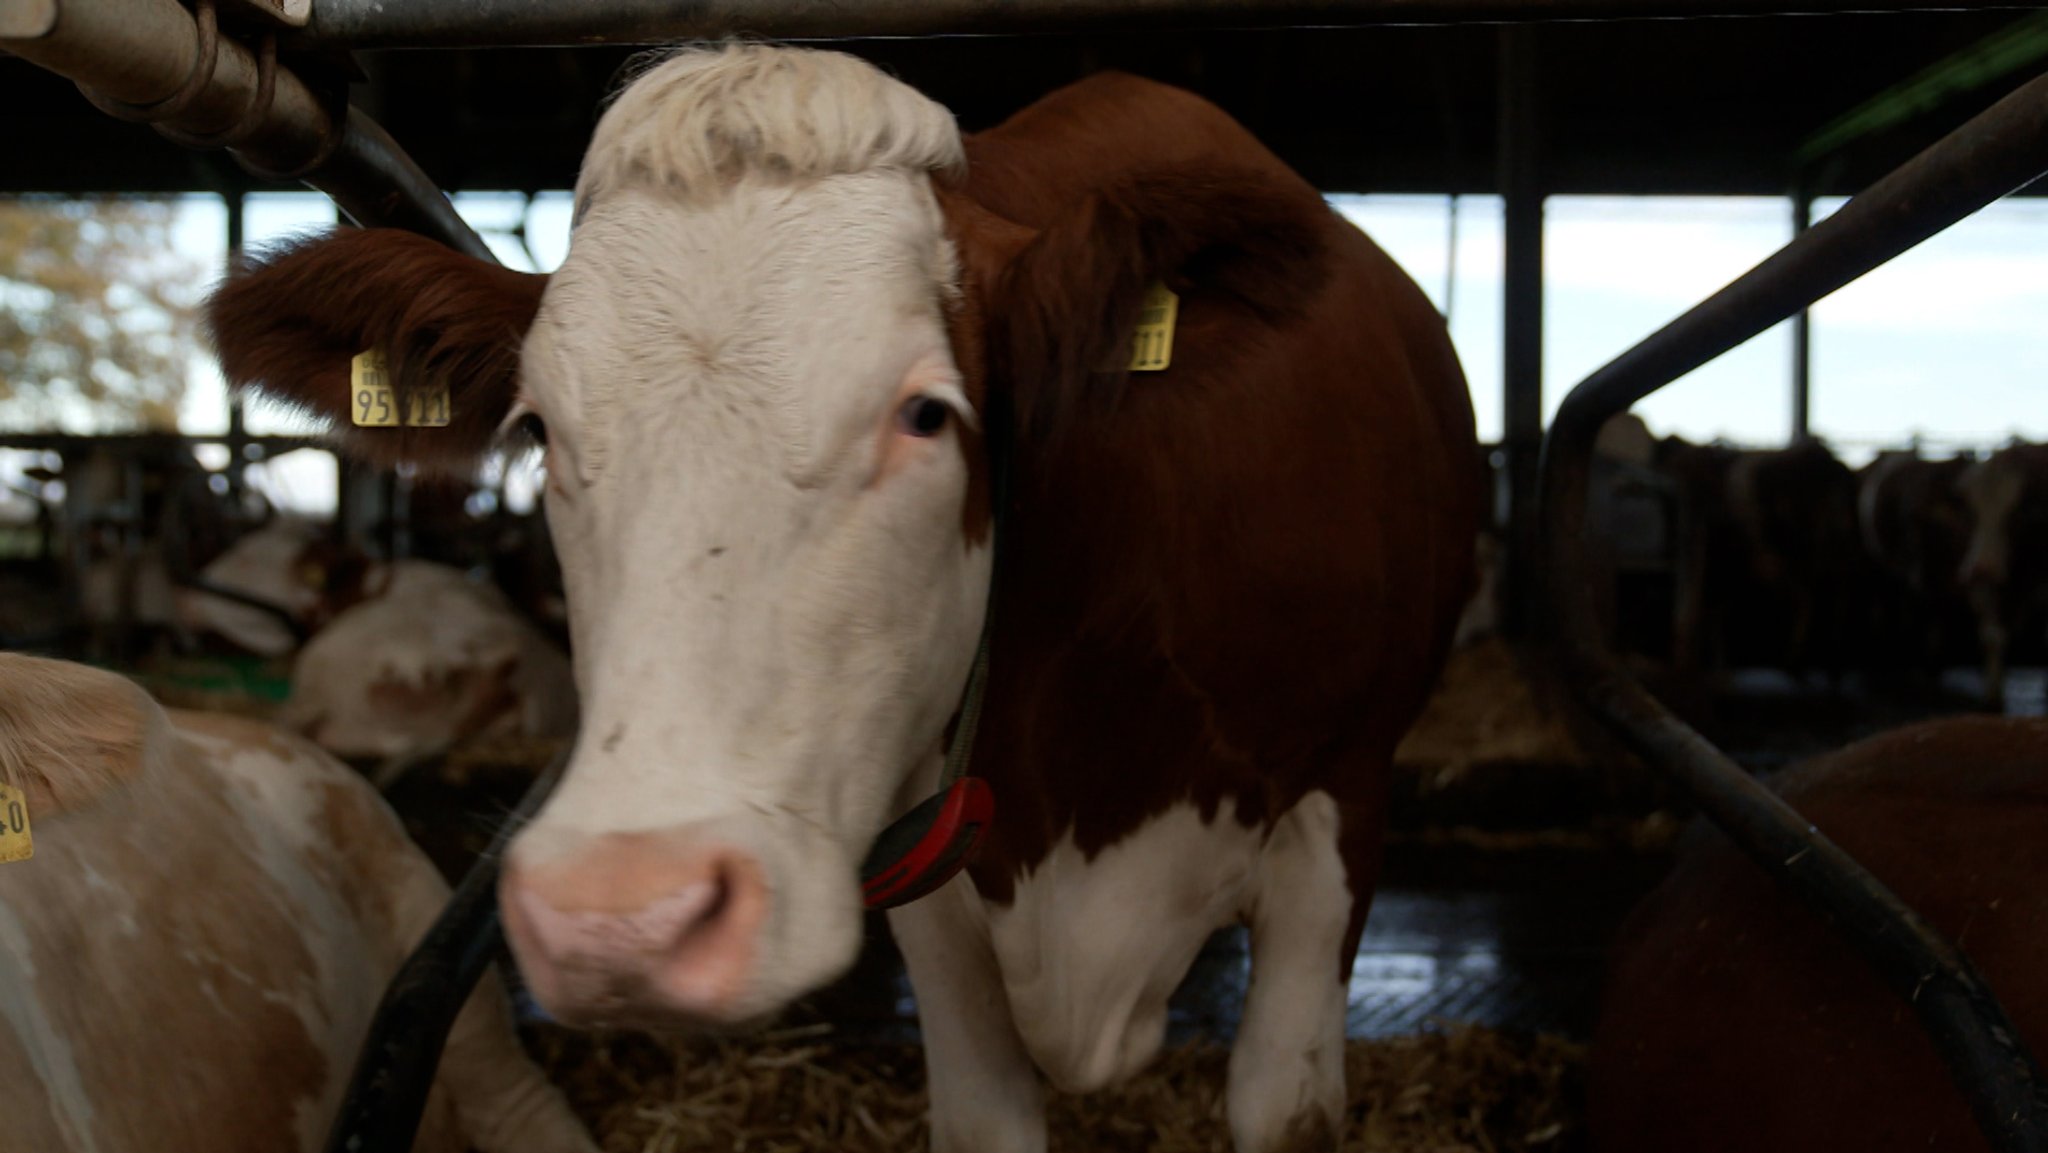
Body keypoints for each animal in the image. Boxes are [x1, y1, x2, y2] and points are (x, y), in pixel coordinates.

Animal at [203, 47, 1474, 1153]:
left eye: (925, 412)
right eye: (538, 429)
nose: (619, 912)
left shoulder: (1340, 803)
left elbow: (1280, 1107)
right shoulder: (925, 865)